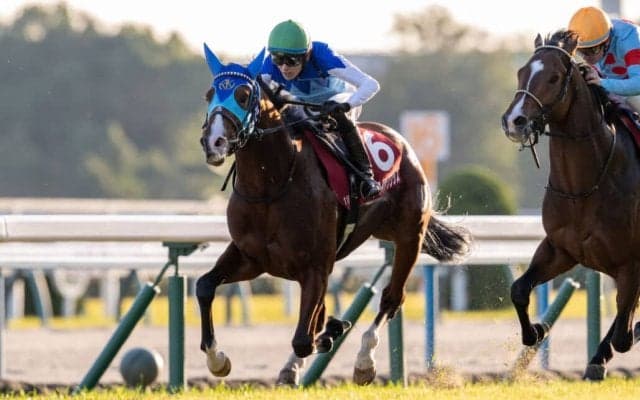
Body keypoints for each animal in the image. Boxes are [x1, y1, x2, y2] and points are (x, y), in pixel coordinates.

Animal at [195, 44, 470, 385]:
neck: (272, 185)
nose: (213, 142)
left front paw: (331, 333)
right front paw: (217, 359)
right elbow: (204, 286)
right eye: (209, 95)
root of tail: (400, 141)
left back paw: (364, 360)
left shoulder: (314, 266)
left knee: (391, 298)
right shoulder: (253, 257)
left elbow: (304, 338)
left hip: (409, 237)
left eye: (244, 95)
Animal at [501, 30, 640, 380]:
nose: (513, 121)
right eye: (521, 71)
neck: (583, 188)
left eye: (553, 77)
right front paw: (536, 330)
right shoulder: (560, 249)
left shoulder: (631, 262)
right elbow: (519, 289)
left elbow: (623, 335)